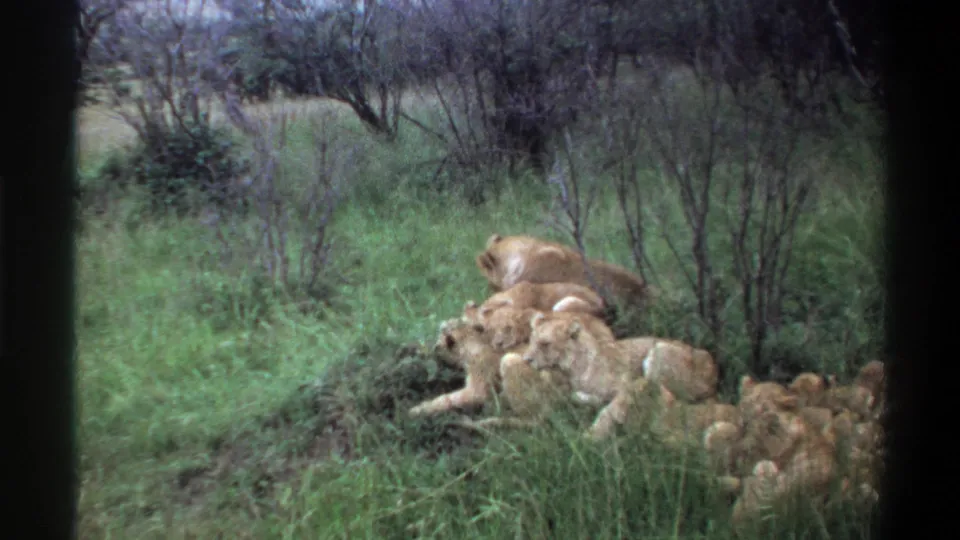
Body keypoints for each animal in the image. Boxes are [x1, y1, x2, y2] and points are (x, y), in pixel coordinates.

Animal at [521, 312, 718, 439]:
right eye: (531, 341)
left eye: (545, 344)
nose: (526, 360)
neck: (573, 368)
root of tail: (714, 370)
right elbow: (579, 397)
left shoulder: (626, 385)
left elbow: (610, 410)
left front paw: (592, 435)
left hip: (658, 351)